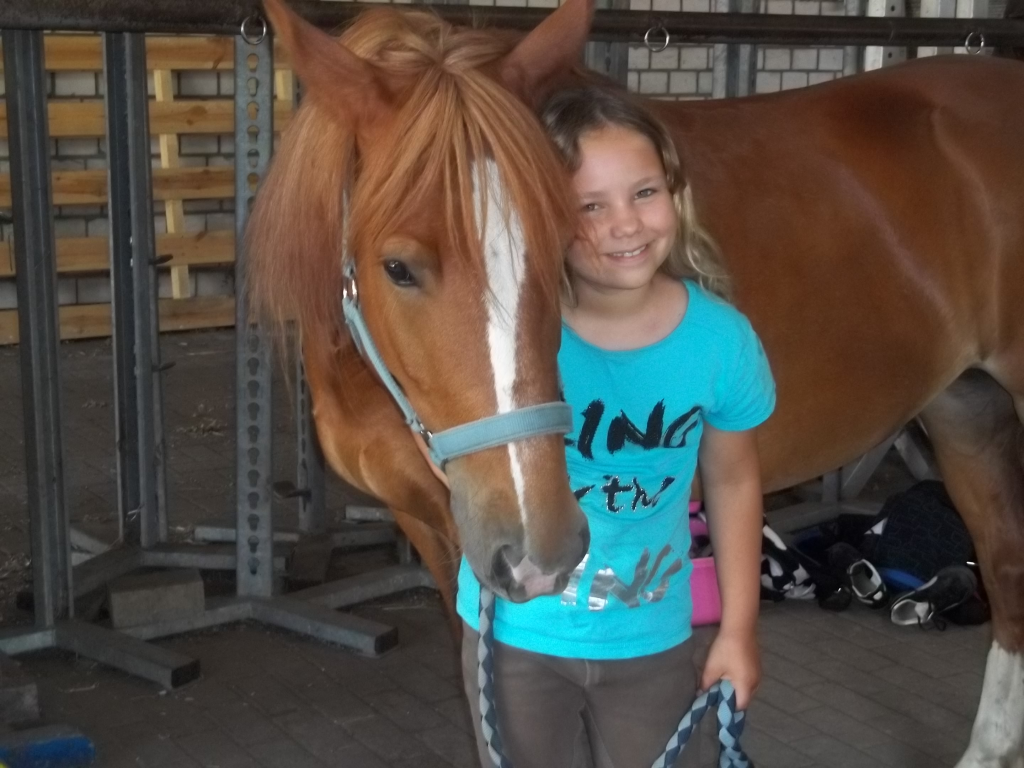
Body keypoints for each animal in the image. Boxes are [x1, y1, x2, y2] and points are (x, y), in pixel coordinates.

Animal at [247, 0, 1024, 765]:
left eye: (560, 242)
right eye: (398, 267)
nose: (543, 553)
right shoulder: (442, 538)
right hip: (966, 409)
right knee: (1007, 567)